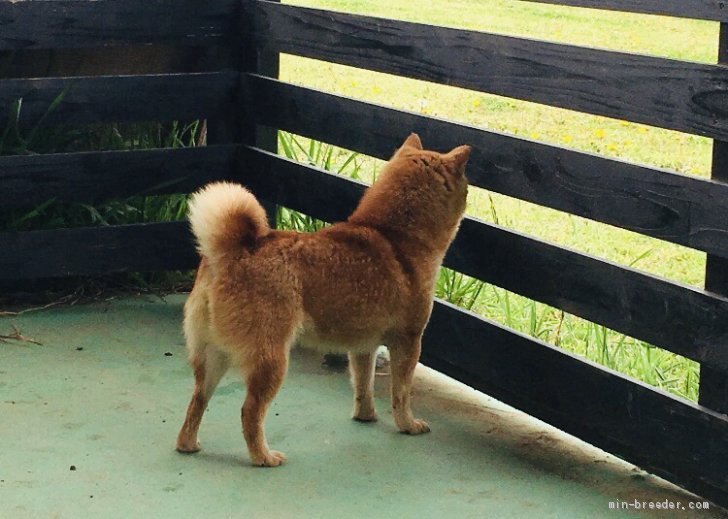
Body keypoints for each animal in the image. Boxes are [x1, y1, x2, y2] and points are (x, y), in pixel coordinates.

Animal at [176, 134, 472, 468]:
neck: (394, 236)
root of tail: (230, 252)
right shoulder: (408, 341)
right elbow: (401, 393)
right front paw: (407, 424)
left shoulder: (363, 346)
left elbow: (363, 385)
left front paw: (366, 416)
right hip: (271, 360)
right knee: (249, 412)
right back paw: (263, 457)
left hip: (213, 359)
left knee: (197, 402)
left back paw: (189, 444)